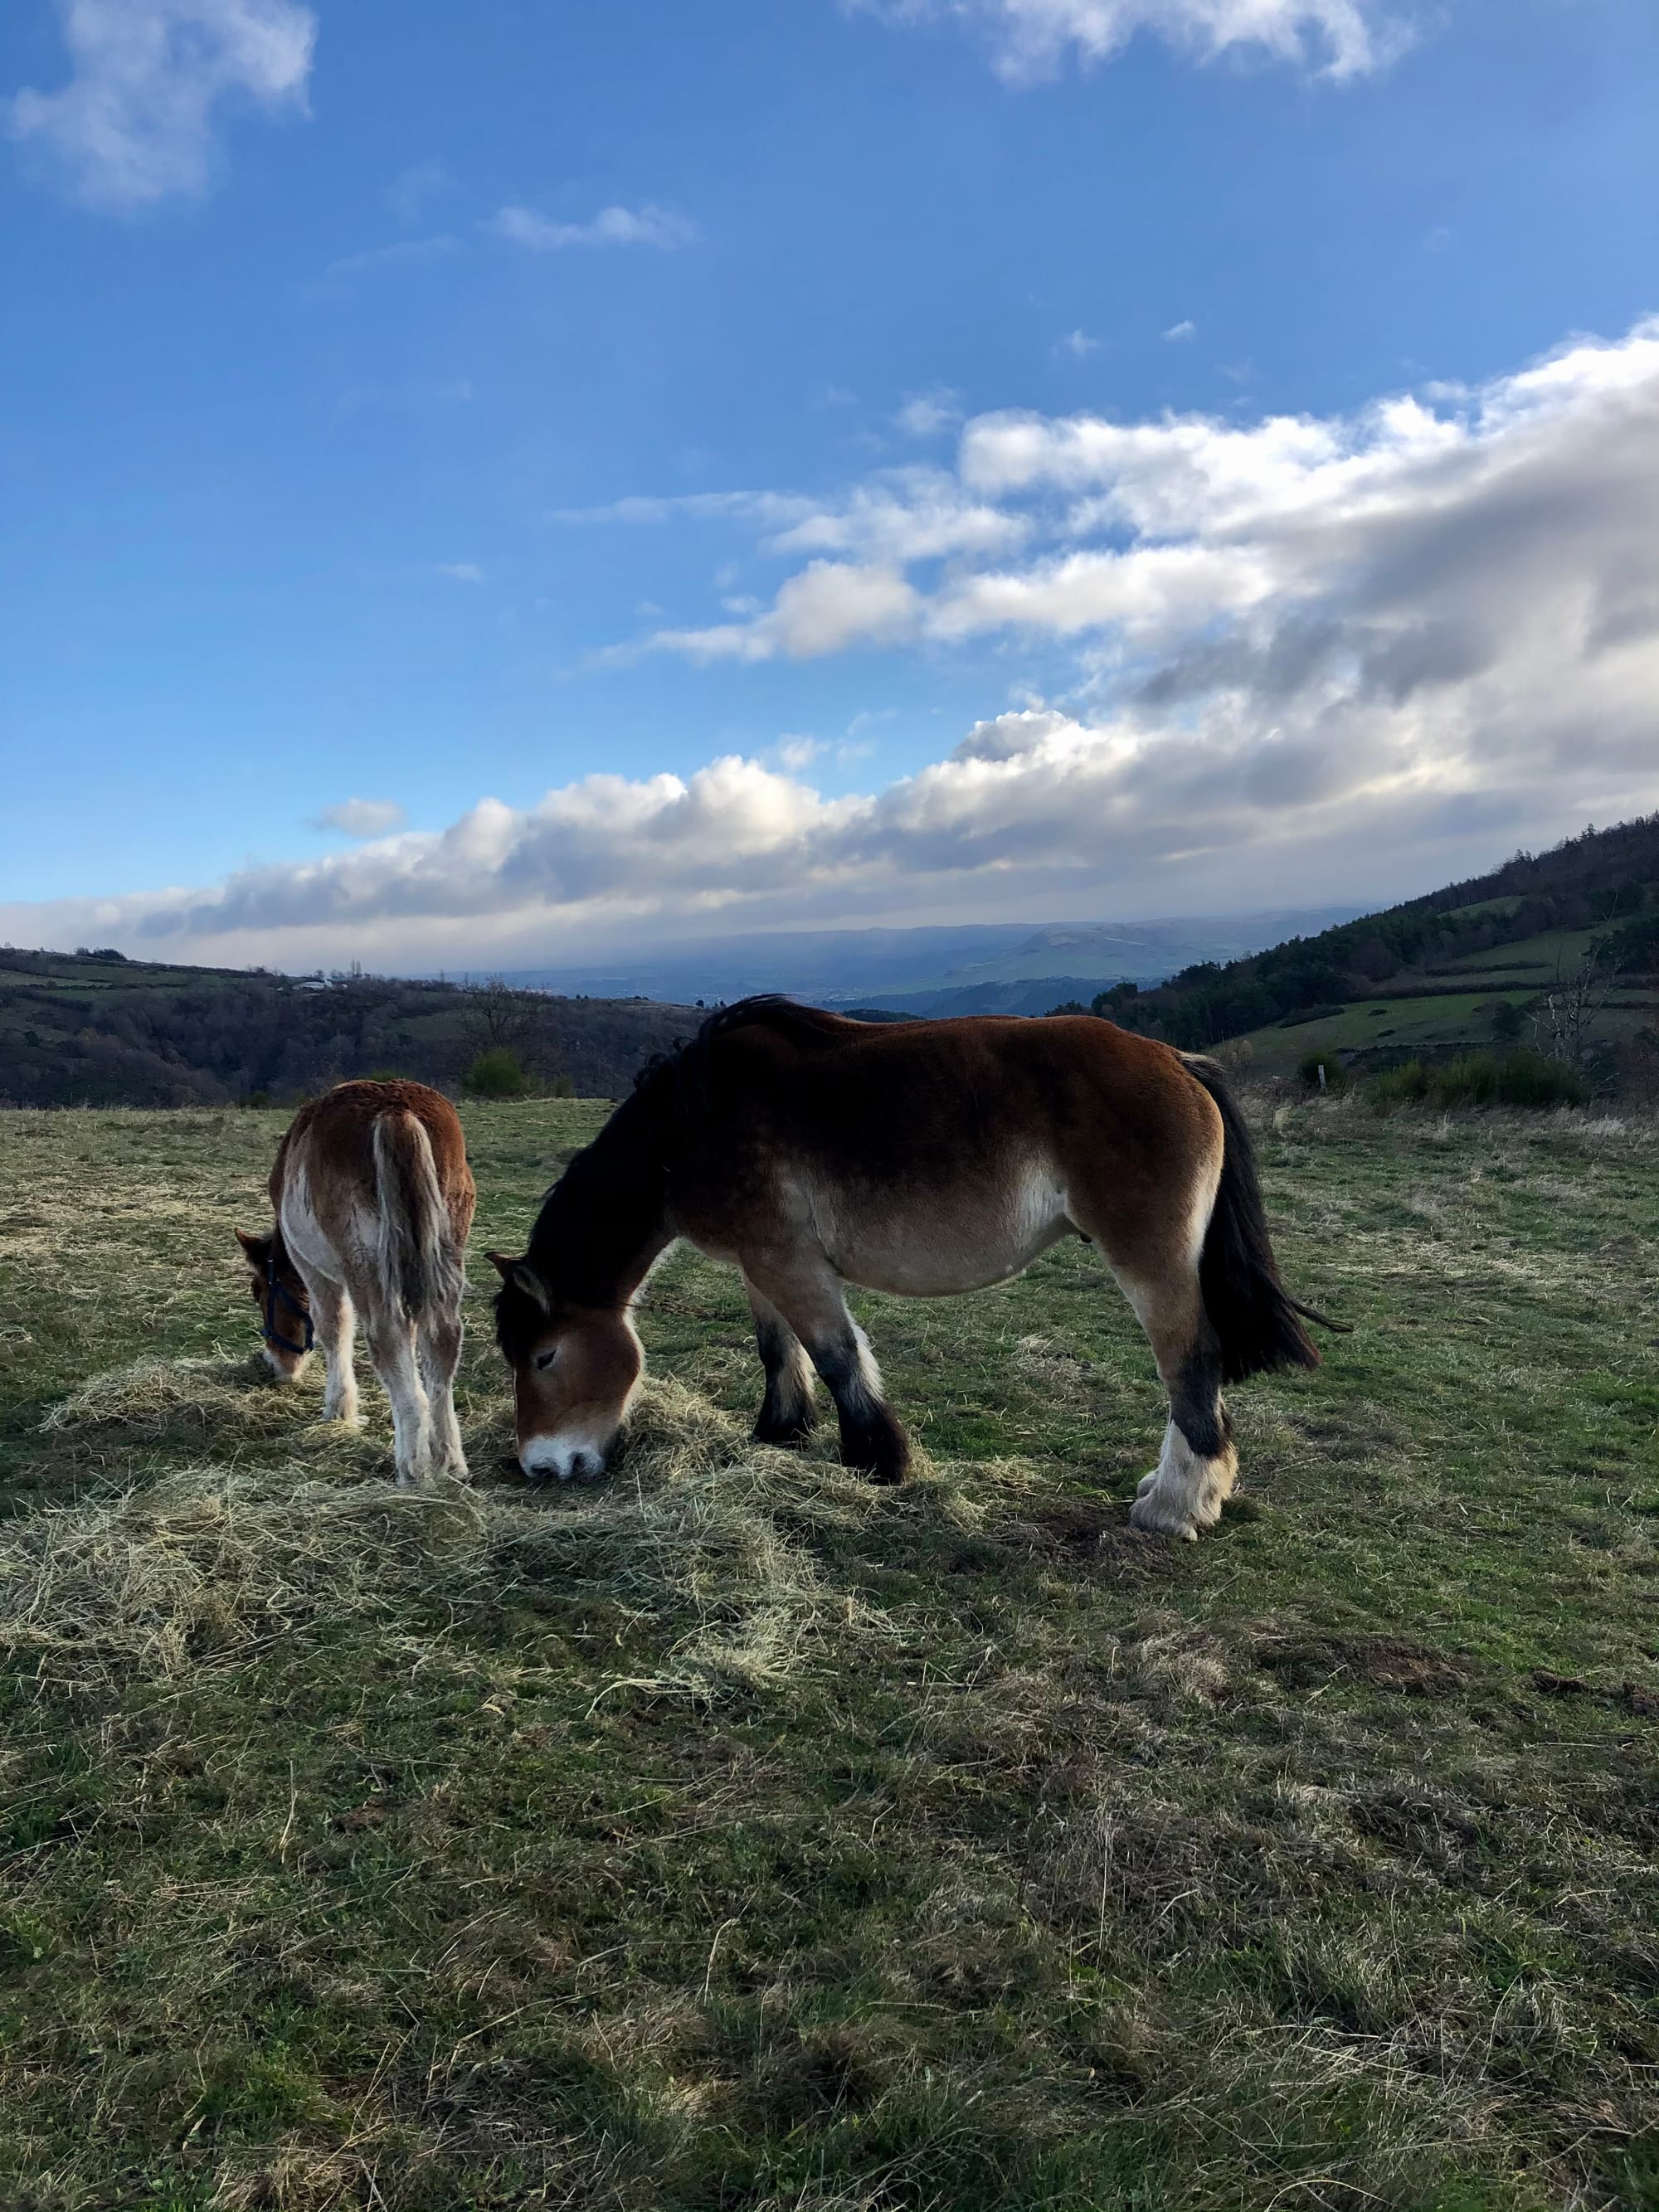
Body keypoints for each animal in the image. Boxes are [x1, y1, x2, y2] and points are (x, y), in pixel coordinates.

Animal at [236, 1075, 478, 1486]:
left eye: (259, 1293)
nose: (276, 1366)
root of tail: (396, 1110)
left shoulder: (313, 1269)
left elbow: (334, 1328)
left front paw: (339, 1409)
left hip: (366, 1264)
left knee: (386, 1339)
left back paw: (412, 1464)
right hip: (445, 1252)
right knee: (442, 1338)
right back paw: (449, 1458)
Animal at [484, 999, 1335, 1539]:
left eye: (545, 1356)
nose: (542, 1465)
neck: (688, 1127)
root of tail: (1177, 1063)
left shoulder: (791, 1263)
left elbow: (836, 1355)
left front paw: (877, 1459)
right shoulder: (759, 1264)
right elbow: (778, 1350)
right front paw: (780, 1432)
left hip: (1151, 1262)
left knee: (1191, 1363)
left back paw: (1175, 1508)